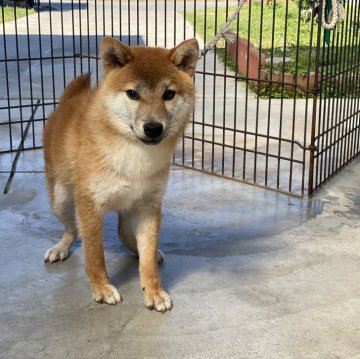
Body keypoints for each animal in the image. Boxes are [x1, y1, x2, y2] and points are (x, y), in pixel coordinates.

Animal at [44, 37, 200, 312]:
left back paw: (143, 251)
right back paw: (60, 248)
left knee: (124, 233)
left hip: (129, 204)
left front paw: (154, 289)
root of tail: (66, 103)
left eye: (169, 94)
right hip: (60, 199)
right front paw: (102, 288)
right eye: (132, 94)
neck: (134, 156)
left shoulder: (150, 204)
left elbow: (147, 253)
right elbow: (94, 254)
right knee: (71, 230)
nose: (153, 128)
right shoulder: (89, 204)